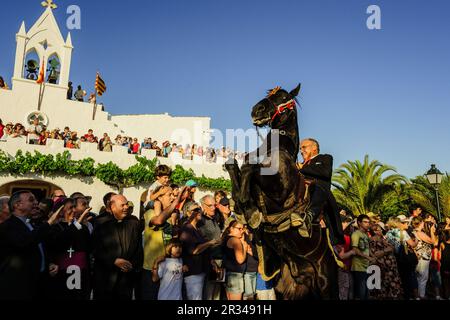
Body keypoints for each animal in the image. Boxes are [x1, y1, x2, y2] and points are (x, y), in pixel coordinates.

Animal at [227, 84, 340, 298]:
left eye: (283, 97)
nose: (257, 109)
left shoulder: (279, 190)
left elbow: (249, 168)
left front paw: (249, 210)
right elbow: (236, 165)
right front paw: (243, 208)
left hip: (326, 284)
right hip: (285, 287)